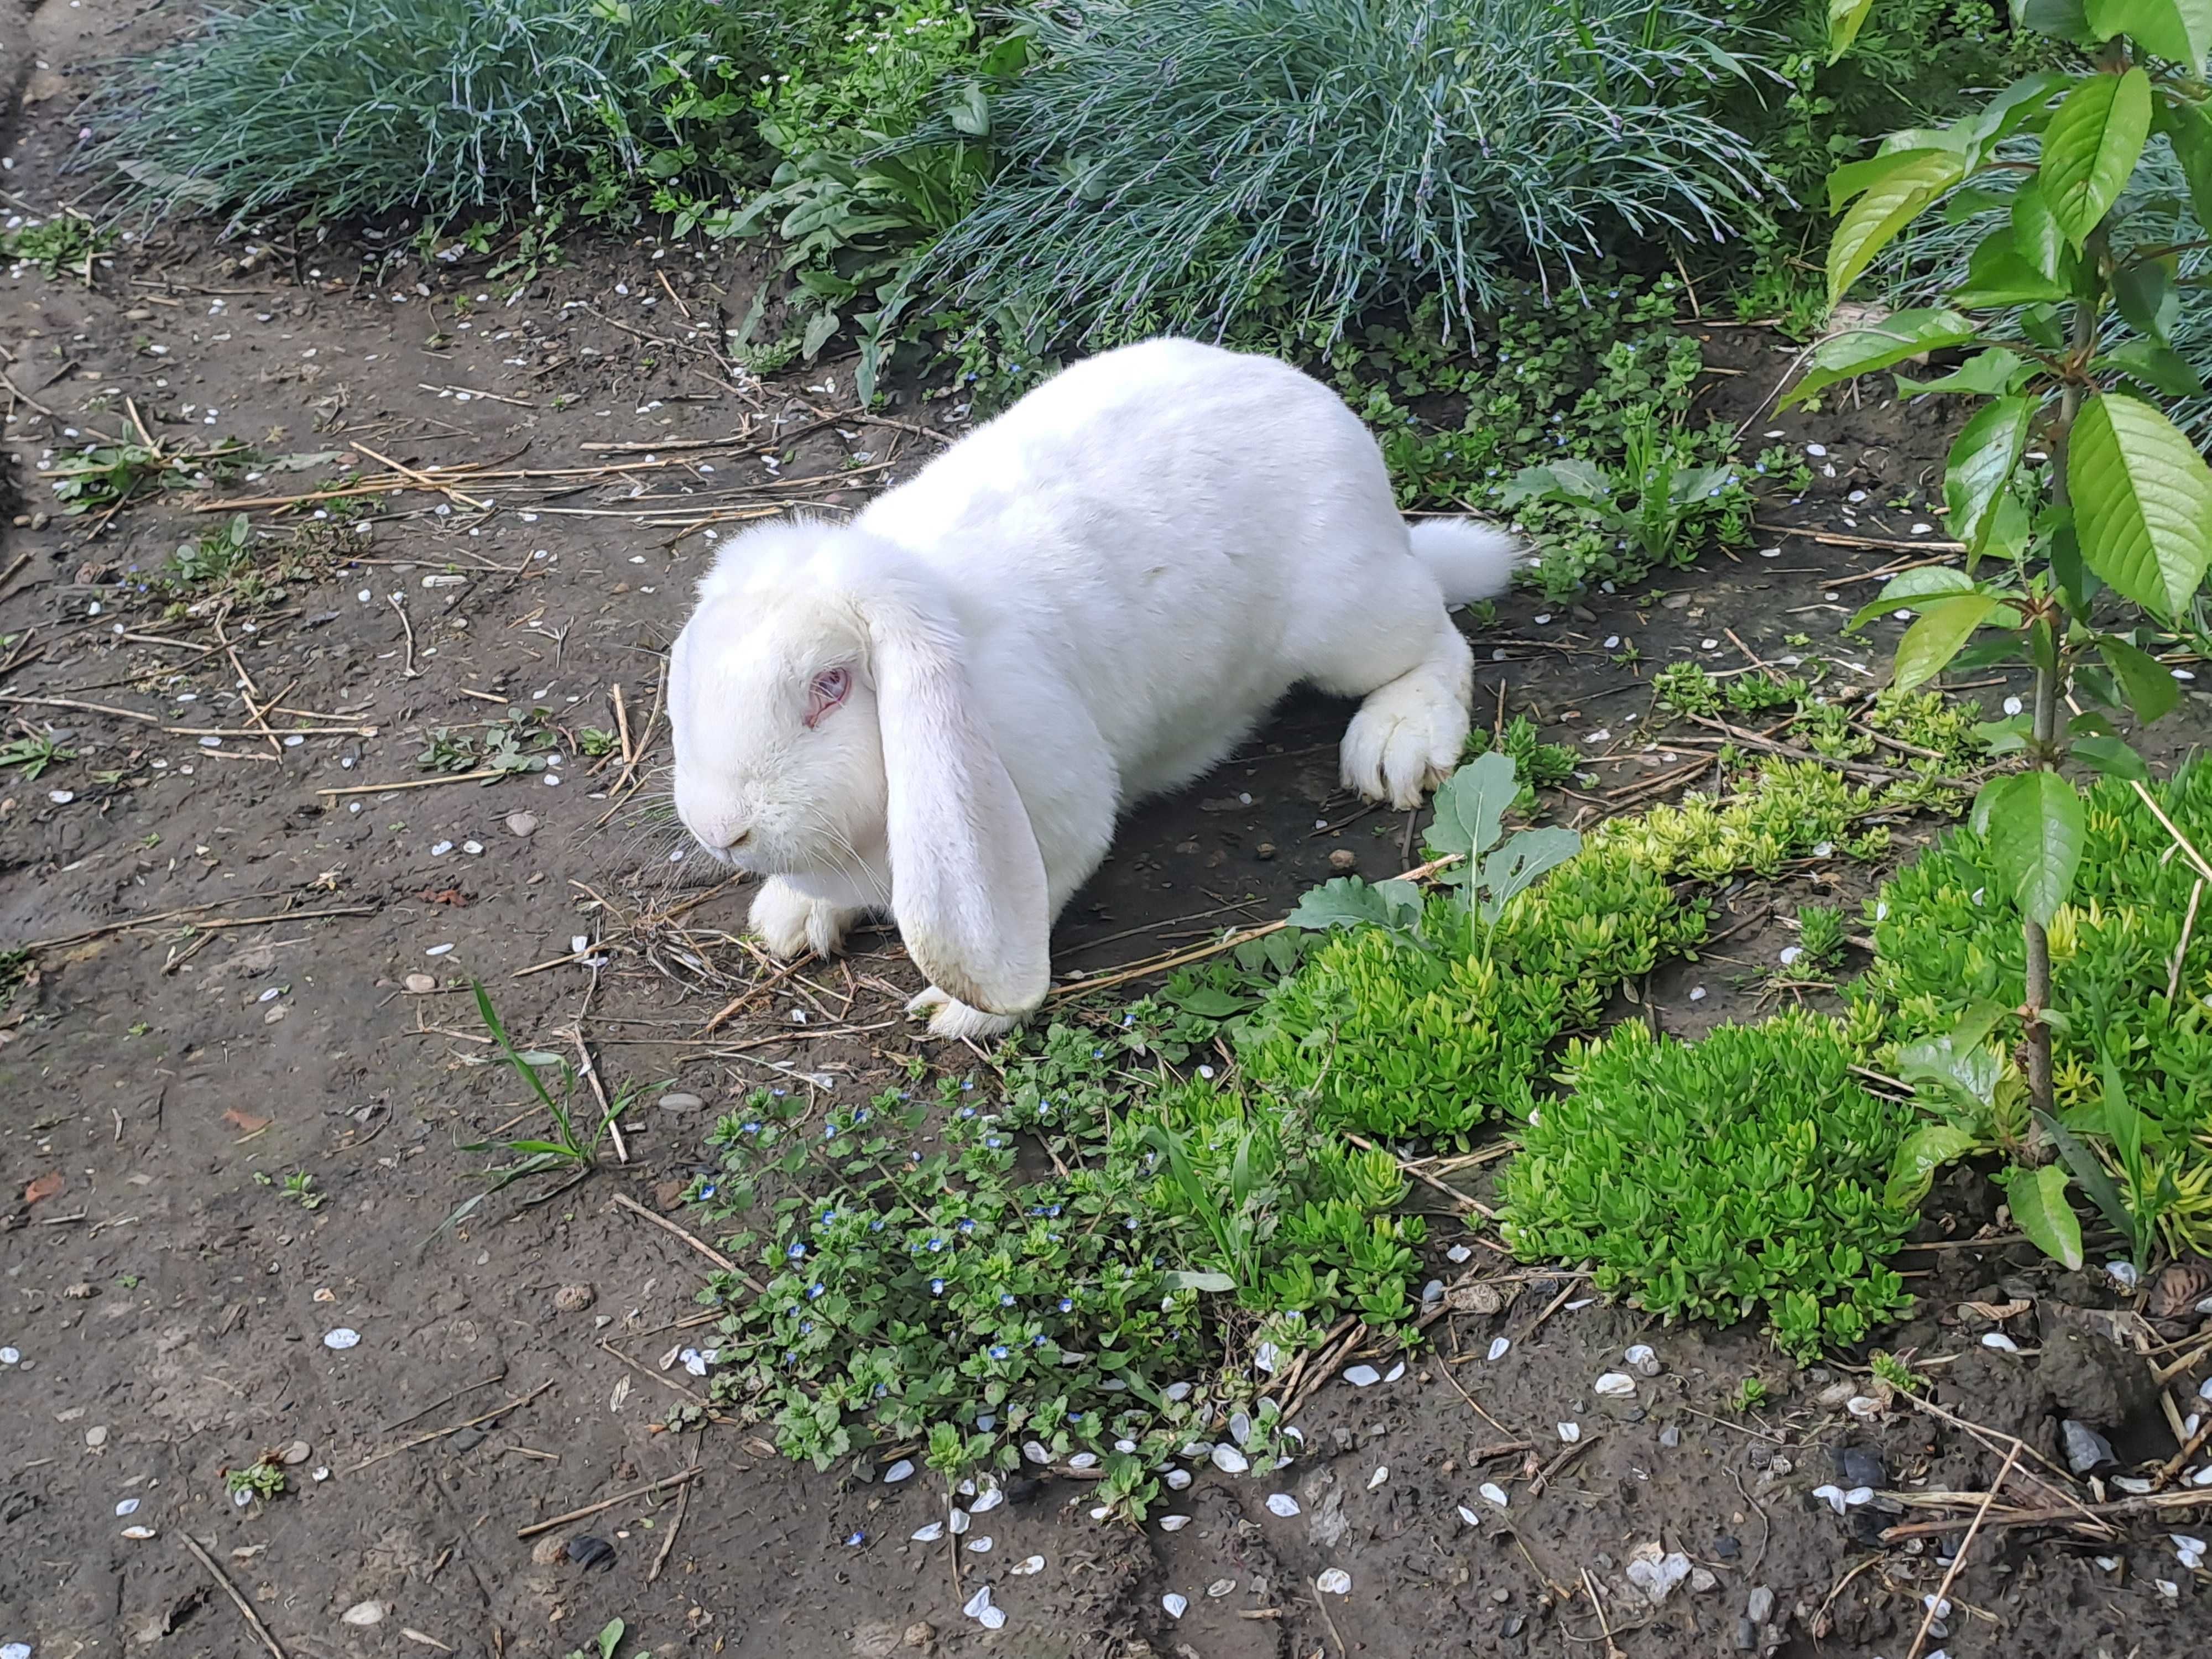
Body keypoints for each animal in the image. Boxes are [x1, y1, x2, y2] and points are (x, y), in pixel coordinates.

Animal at [668, 338, 1522, 1040]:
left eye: (832, 685)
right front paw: (790, 916)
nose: (721, 830)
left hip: (1349, 619)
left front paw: (961, 1013)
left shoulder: (1054, 813)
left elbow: (1045, 889)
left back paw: (1396, 744)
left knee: (1437, 640)